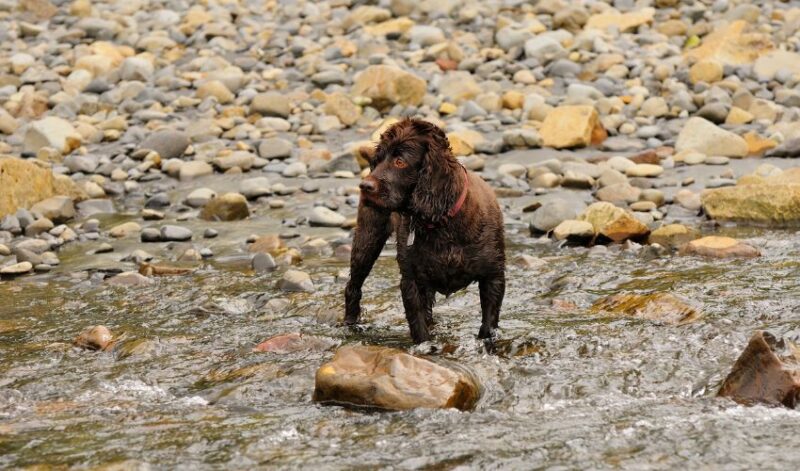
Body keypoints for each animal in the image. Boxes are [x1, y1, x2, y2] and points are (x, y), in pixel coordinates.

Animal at [344, 118, 506, 342]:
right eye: (378, 159)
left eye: (400, 161)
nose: (364, 186)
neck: (442, 223)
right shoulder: (411, 281)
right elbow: (419, 327)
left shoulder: (493, 276)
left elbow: (488, 325)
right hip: (368, 238)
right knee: (353, 285)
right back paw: (350, 323)